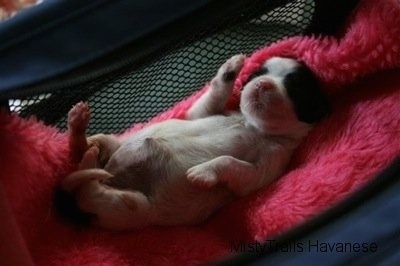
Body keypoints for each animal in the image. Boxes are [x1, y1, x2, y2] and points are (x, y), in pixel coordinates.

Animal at [57, 53, 332, 229]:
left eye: (295, 88)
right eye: (258, 74)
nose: (261, 84)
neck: (253, 125)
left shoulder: (266, 168)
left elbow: (231, 163)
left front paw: (201, 173)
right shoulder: (203, 113)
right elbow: (213, 96)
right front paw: (231, 67)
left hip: (127, 207)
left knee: (90, 190)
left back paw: (89, 161)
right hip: (115, 148)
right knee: (85, 151)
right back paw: (81, 128)